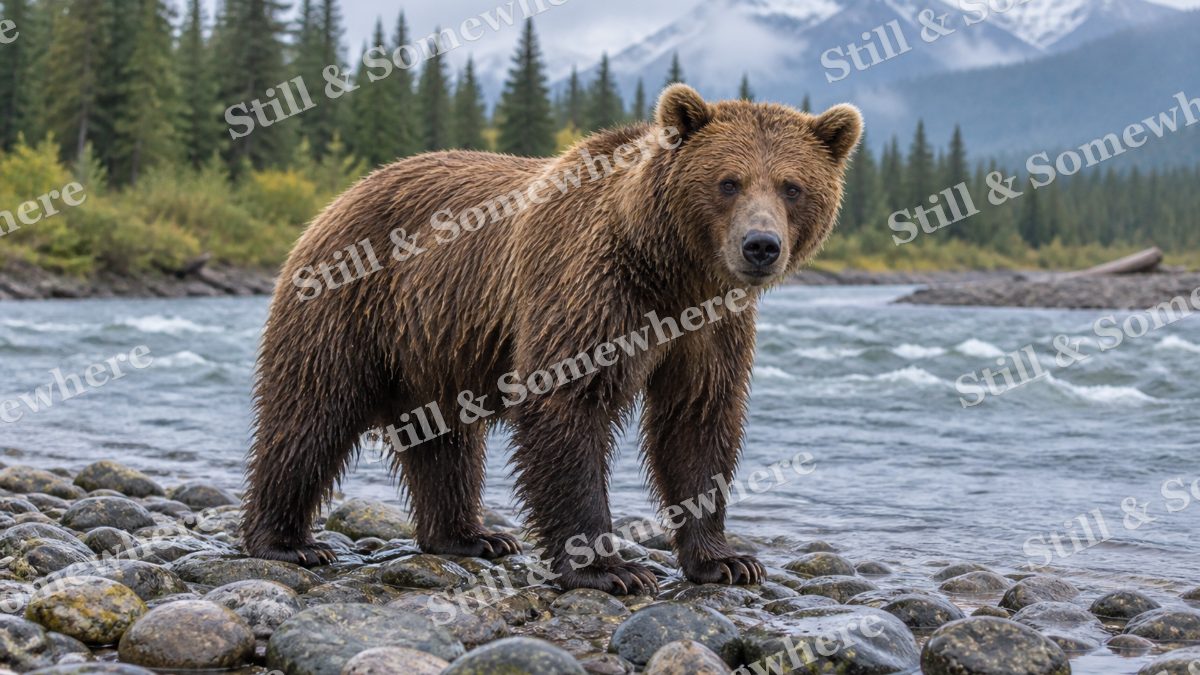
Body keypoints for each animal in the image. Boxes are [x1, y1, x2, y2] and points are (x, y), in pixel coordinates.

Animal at [241, 84, 862, 594]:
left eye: (792, 187)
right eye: (728, 182)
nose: (761, 245)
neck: (670, 273)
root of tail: (341, 197)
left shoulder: (712, 327)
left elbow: (698, 419)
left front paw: (726, 560)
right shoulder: (589, 288)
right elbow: (568, 408)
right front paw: (609, 569)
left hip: (434, 345)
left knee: (445, 442)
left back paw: (468, 535)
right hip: (349, 307)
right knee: (311, 415)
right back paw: (287, 542)